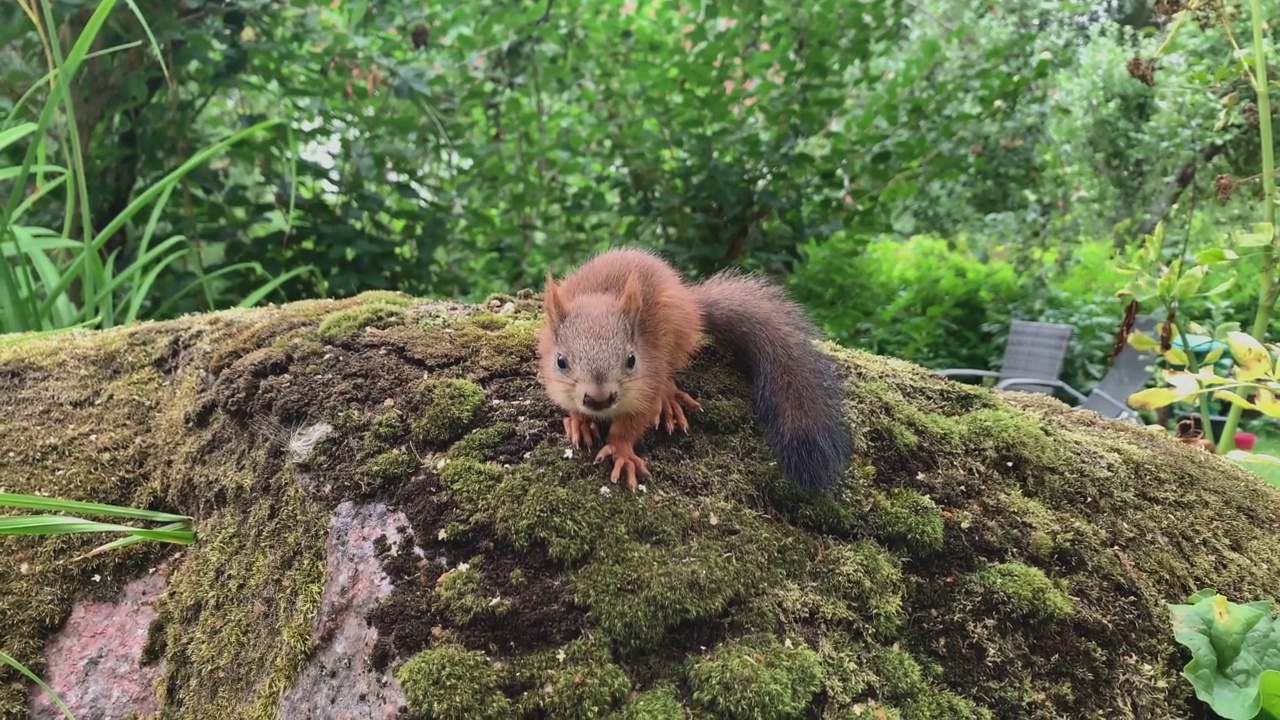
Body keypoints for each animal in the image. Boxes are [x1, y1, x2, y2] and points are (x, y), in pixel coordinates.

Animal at [537, 245, 849, 491]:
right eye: (561, 361)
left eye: (631, 360)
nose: (599, 399)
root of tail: (691, 303)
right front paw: (578, 420)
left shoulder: (646, 386)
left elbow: (633, 423)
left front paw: (621, 451)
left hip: (676, 336)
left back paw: (669, 400)